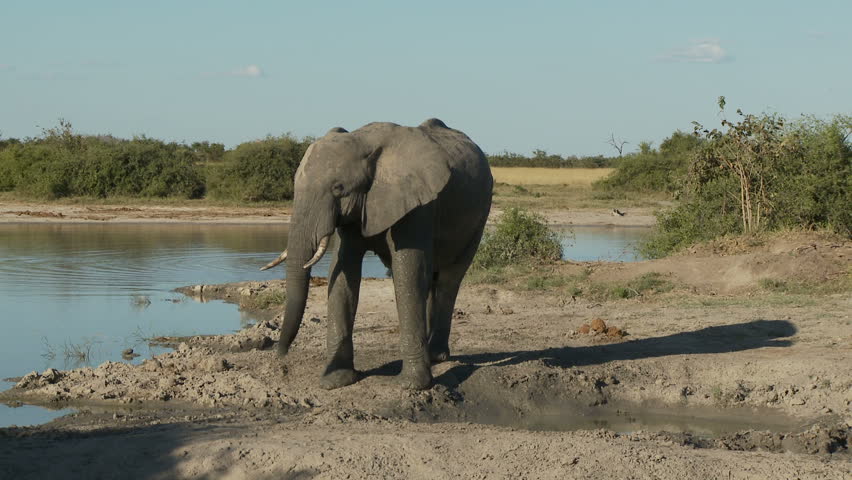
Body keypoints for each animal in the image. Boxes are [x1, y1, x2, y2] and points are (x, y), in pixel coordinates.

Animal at [260, 118, 493, 390]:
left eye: (339, 188)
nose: (280, 354)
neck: (365, 143)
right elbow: (344, 271)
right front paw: (335, 381)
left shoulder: (418, 204)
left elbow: (407, 274)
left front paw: (411, 385)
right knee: (430, 280)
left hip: (480, 214)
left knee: (448, 280)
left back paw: (436, 355)